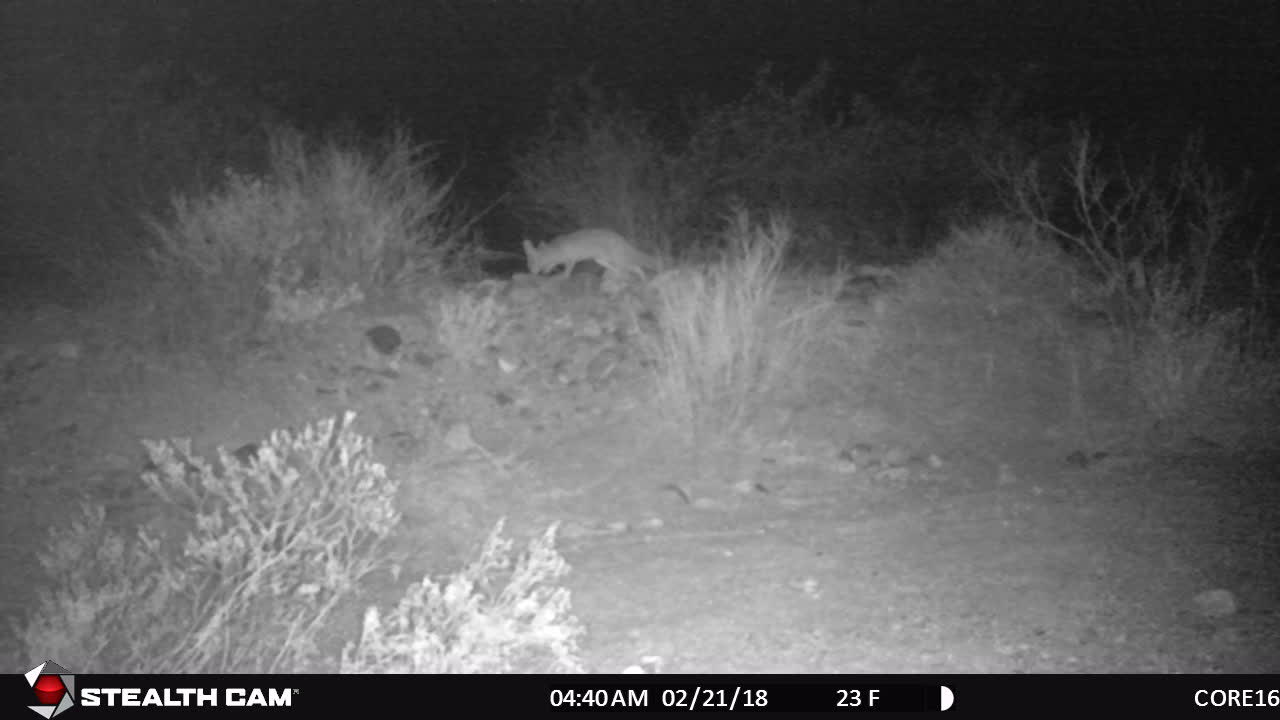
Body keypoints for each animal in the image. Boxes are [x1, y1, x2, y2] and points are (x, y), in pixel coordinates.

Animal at [522, 226, 660, 280]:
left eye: (530, 264)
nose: (531, 273)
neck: (555, 249)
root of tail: (619, 237)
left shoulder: (571, 260)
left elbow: (566, 273)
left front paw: (560, 276)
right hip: (601, 260)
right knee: (634, 268)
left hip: (616, 260)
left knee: (630, 269)